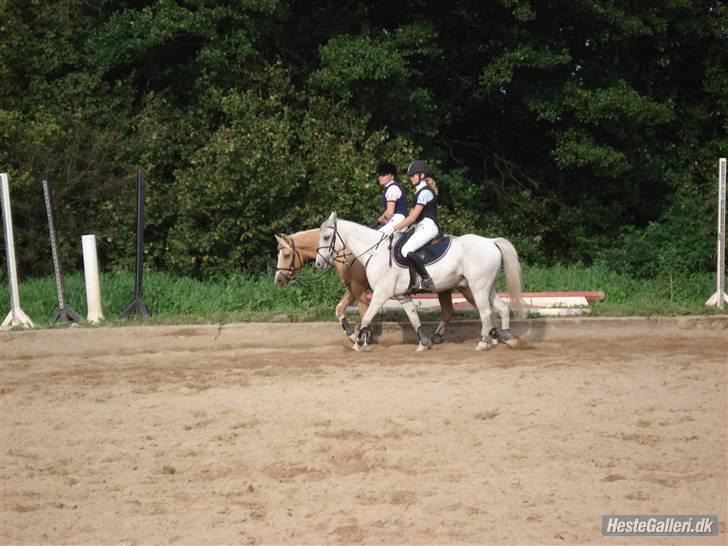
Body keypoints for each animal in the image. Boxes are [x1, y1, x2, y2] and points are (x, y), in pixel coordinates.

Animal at [272, 228, 460, 340]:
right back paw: (437, 336)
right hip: (446, 288)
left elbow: (364, 313)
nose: (278, 280)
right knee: (448, 312)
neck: (345, 253)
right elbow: (339, 309)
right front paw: (352, 334)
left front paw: (364, 336)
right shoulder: (352, 288)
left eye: (286, 255)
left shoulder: (359, 287)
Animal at [316, 210, 528, 350]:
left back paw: (483, 343)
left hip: (478, 287)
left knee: (485, 312)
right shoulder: (402, 295)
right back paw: (507, 338)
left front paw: (359, 342)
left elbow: (367, 316)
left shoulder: (380, 293)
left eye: (326, 237)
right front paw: (423, 343)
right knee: (501, 308)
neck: (374, 251)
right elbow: (413, 318)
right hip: (483, 287)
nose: (319, 263)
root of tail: (491, 242)